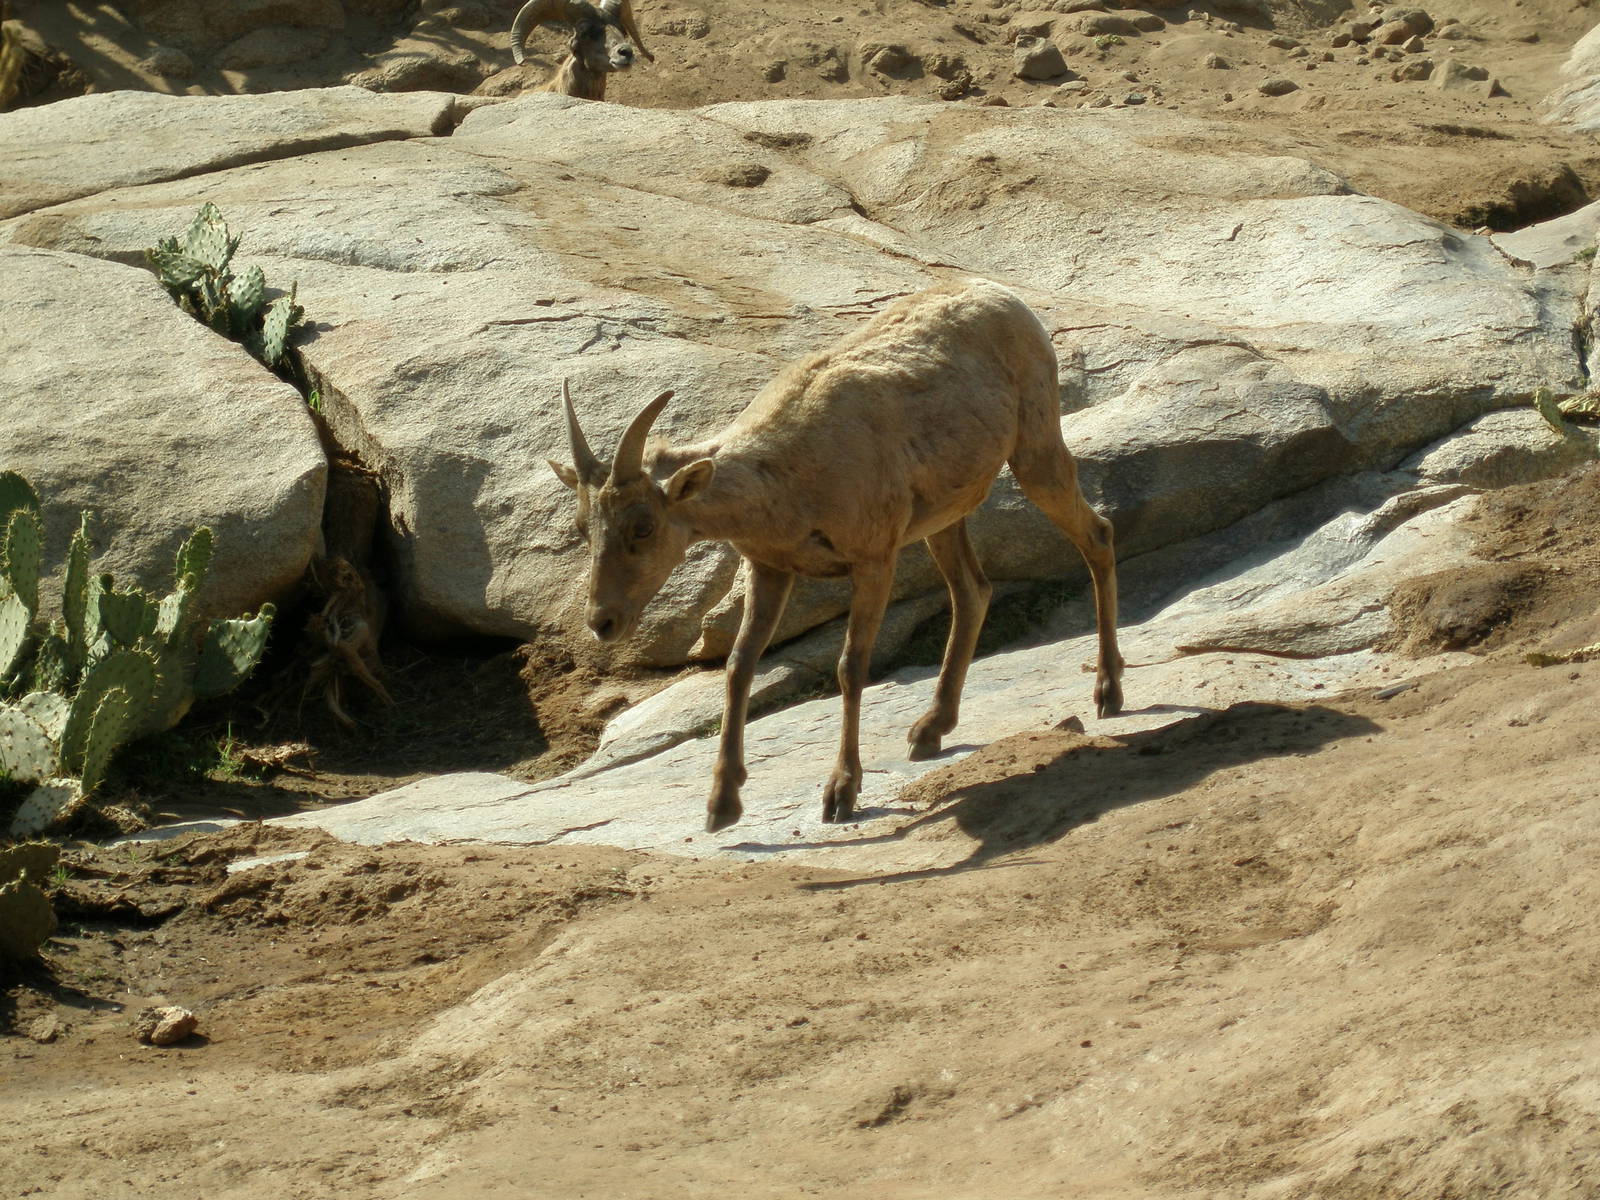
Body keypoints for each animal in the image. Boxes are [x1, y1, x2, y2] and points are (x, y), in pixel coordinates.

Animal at [550, 280, 1124, 833]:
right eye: (582, 527)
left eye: (643, 526)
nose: (602, 621)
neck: (788, 474)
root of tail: (1009, 299)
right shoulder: (770, 568)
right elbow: (737, 668)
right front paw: (721, 805)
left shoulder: (873, 559)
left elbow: (850, 666)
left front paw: (841, 794)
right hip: (944, 518)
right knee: (973, 591)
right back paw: (929, 731)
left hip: (1035, 451)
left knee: (1097, 535)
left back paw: (1108, 693)